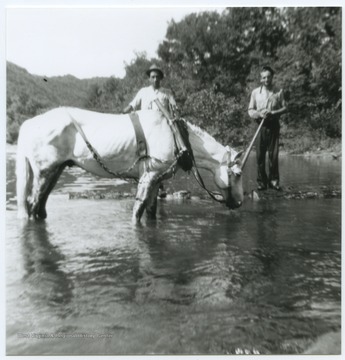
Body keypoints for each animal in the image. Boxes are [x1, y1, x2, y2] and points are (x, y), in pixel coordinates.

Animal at [15, 107, 242, 222]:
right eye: (238, 174)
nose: (239, 204)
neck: (175, 136)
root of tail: (28, 124)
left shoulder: (156, 180)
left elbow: (151, 211)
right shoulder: (148, 176)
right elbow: (138, 210)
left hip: (55, 170)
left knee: (40, 206)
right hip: (45, 171)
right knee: (32, 204)